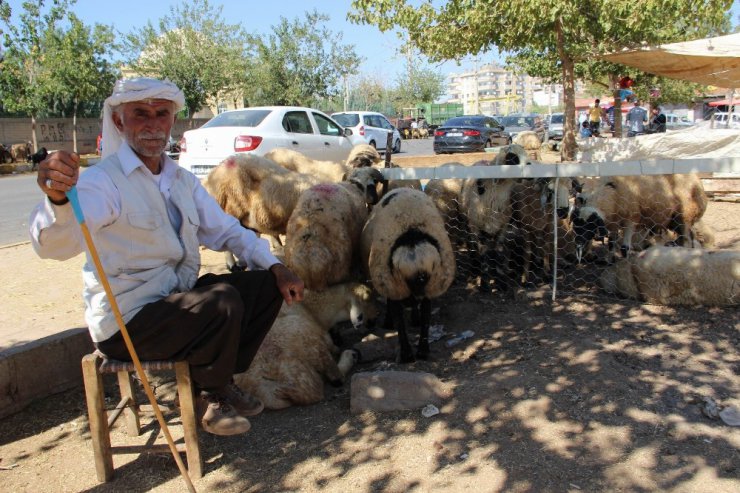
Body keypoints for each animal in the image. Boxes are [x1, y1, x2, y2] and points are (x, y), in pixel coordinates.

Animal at [234, 280, 378, 408]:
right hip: (304, 340)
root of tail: (255, 379)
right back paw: (351, 355)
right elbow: (332, 346)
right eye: (367, 299)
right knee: (334, 378)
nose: (373, 322)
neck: (312, 307)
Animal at [360, 188, 456, 362]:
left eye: (426, 275)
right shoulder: (397, 285)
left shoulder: (424, 286)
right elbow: (405, 317)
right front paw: (411, 353)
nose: (418, 294)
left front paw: (417, 352)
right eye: (411, 279)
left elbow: (420, 317)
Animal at [568, 175, 708, 264]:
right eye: (576, 225)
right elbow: (611, 244)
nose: (578, 243)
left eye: (590, 226)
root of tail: (698, 181)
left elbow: (624, 248)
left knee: (686, 240)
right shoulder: (614, 223)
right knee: (691, 237)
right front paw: (608, 260)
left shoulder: (631, 219)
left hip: (684, 216)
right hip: (674, 220)